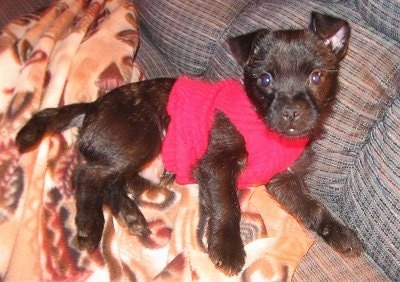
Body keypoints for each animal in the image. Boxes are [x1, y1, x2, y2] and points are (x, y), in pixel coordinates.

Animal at [17, 12, 362, 276]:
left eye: (316, 77)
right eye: (265, 80)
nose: (292, 112)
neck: (266, 130)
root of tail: (94, 105)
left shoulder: (285, 182)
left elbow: (314, 207)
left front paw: (338, 231)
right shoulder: (216, 163)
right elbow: (228, 204)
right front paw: (227, 247)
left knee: (111, 181)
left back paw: (132, 214)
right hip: (142, 136)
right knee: (87, 175)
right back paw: (90, 224)